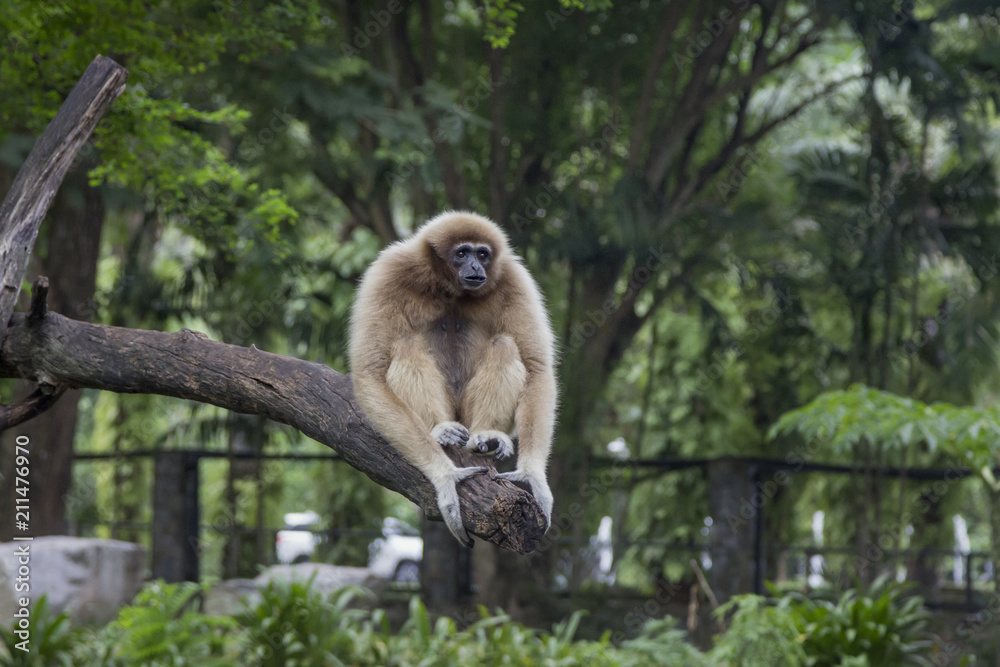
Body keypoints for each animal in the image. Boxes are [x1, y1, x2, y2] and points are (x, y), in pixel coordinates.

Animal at [349, 211, 556, 547]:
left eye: (482, 254)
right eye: (462, 253)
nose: (475, 267)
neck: (447, 288)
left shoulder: (514, 278)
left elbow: (538, 368)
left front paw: (533, 477)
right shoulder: (388, 272)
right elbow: (370, 372)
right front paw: (445, 477)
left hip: (468, 415)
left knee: (505, 345)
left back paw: (487, 436)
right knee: (405, 344)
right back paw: (441, 430)